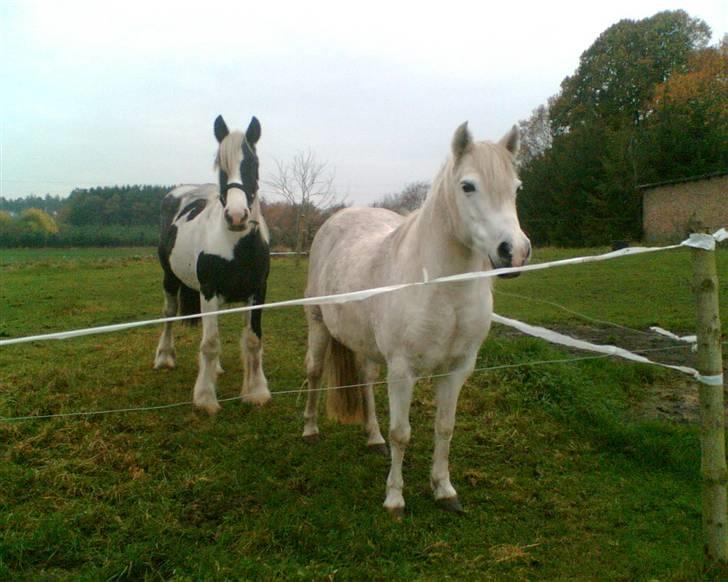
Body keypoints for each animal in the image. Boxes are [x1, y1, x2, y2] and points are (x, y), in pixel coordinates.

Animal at [154, 115, 271, 414]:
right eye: (221, 167)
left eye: (253, 165)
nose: (237, 216)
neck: (237, 246)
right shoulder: (208, 291)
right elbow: (209, 343)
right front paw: (205, 397)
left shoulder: (257, 292)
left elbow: (253, 340)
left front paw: (256, 391)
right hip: (170, 279)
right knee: (169, 314)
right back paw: (164, 358)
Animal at [302, 122, 531, 517]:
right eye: (467, 186)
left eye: (516, 188)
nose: (513, 252)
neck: (442, 289)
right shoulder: (402, 371)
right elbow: (402, 433)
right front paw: (395, 499)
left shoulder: (456, 370)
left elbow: (445, 428)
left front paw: (444, 490)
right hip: (319, 327)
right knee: (315, 372)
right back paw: (311, 430)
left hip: (368, 347)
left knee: (365, 380)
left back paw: (373, 437)